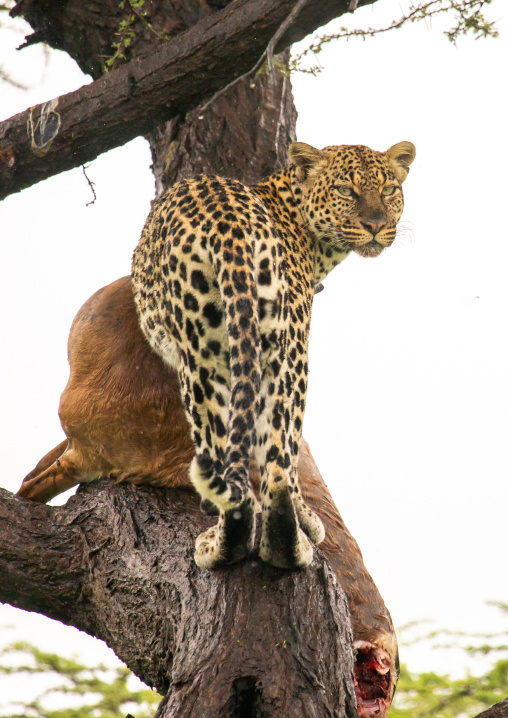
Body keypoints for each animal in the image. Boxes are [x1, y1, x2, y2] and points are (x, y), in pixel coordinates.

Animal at [131, 140, 415, 570]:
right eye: (346, 191)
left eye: (388, 191)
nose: (374, 225)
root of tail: (228, 225)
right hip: (271, 345)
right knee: (277, 453)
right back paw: (281, 531)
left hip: (210, 356)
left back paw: (235, 540)